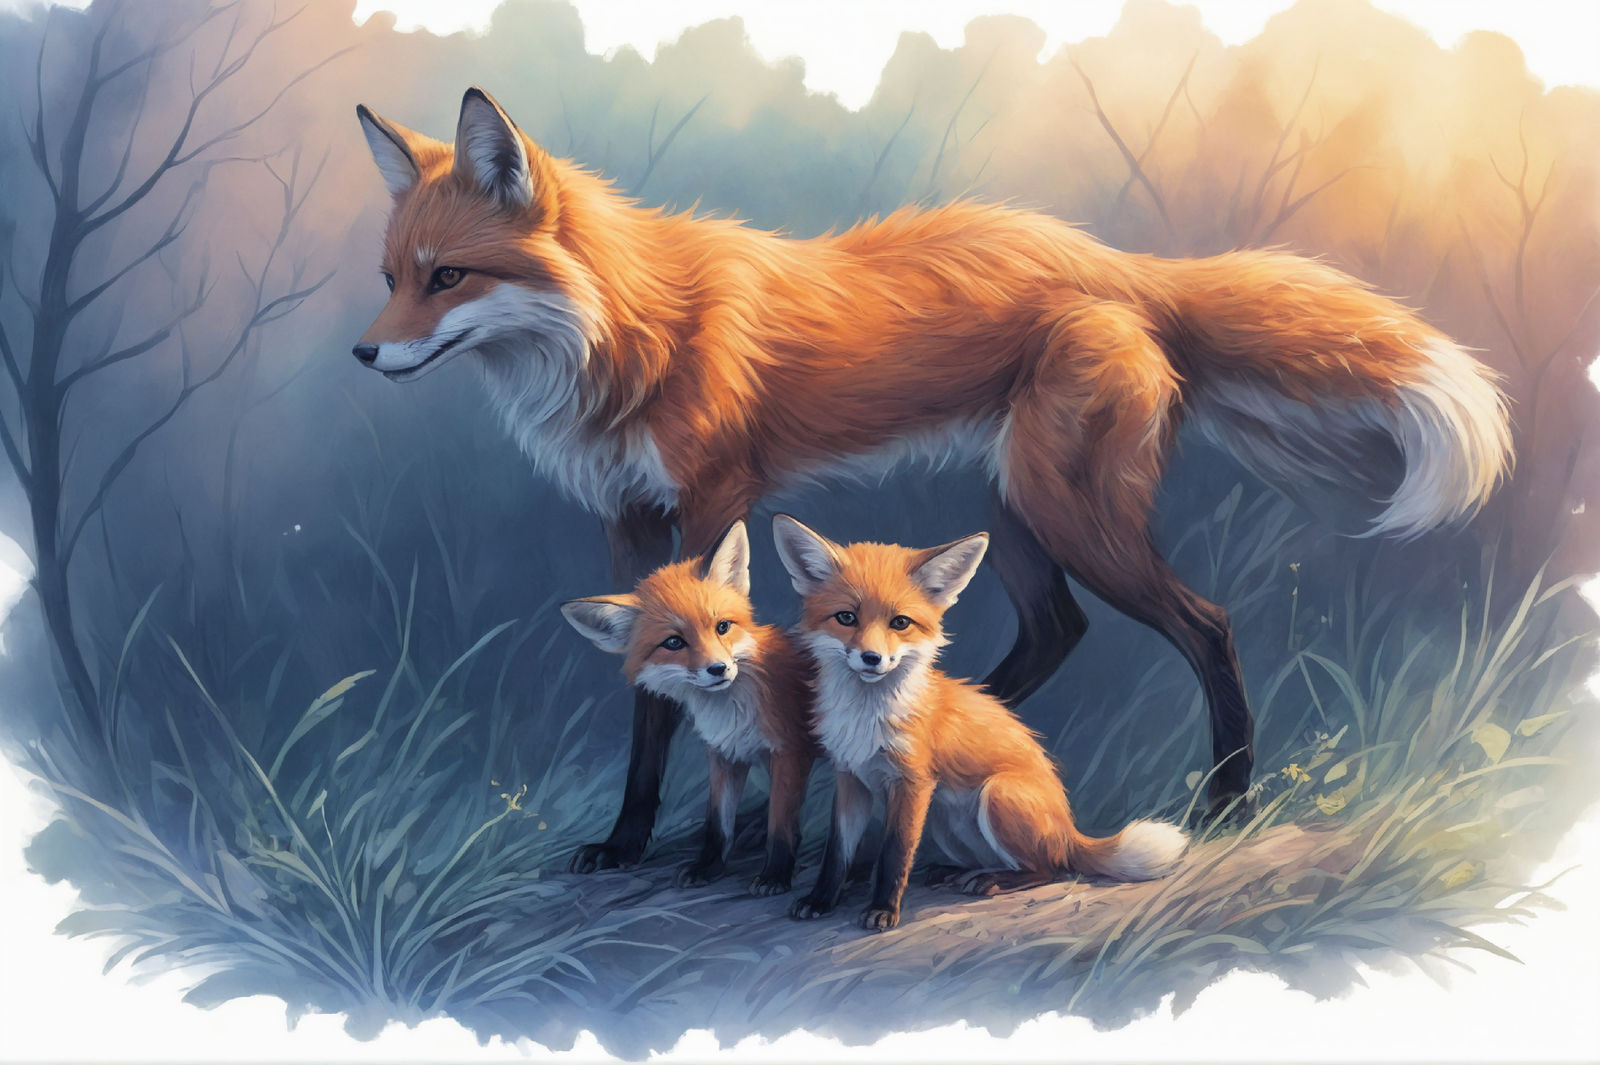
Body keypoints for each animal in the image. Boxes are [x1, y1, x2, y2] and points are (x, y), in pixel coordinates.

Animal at [560, 520, 817, 894]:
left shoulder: (789, 751)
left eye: (722, 627)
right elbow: (718, 825)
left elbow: (782, 825)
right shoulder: (725, 755)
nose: (718, 669)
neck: (732, 712)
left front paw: (775, 874)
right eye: (673, 643)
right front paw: (708, 867)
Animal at [772, 514, 1187, 931]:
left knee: (1052, 868)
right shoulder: (851, 778)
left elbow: (895, 854)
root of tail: (1070, 830)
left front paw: (883, 910)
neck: (867, 719)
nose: (872, 658)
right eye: (846, 617)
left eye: (900, 622)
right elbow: (836, 854)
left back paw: (995, 881)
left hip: (997, 795)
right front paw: (820, 900)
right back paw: (955, 872)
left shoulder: (913, 782)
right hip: (943, 819)